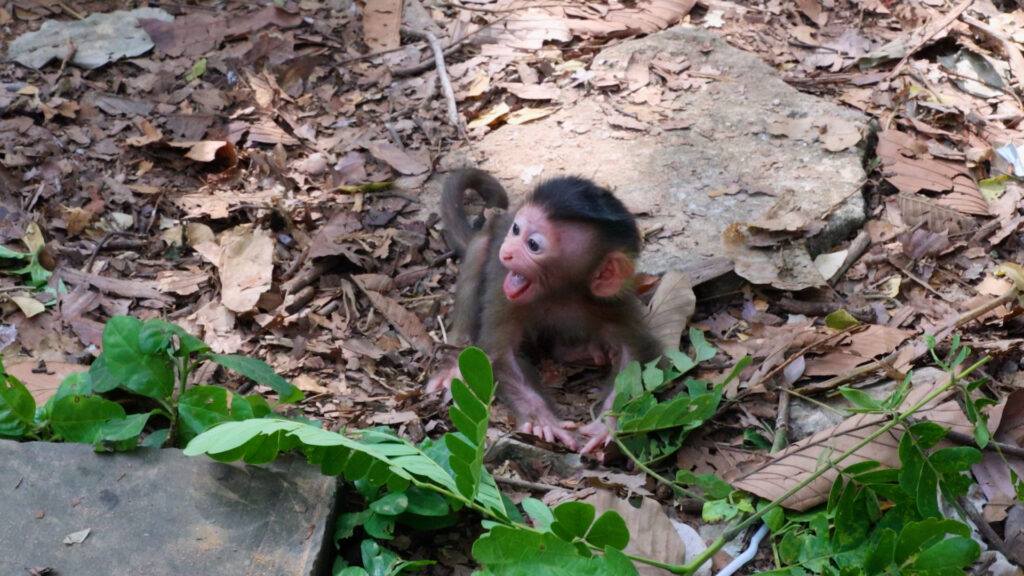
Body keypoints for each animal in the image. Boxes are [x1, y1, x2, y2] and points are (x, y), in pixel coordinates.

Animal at [428, 169, 664, 455]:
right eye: (516, 230)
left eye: (533, 245)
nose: (507, 252)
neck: (559, 292)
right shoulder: (506, 294)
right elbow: (500, 354)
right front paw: (543, 420)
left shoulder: (612, 301)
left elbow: (634, 352)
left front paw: (607, 423)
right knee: (479, 252)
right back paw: (455, 361)